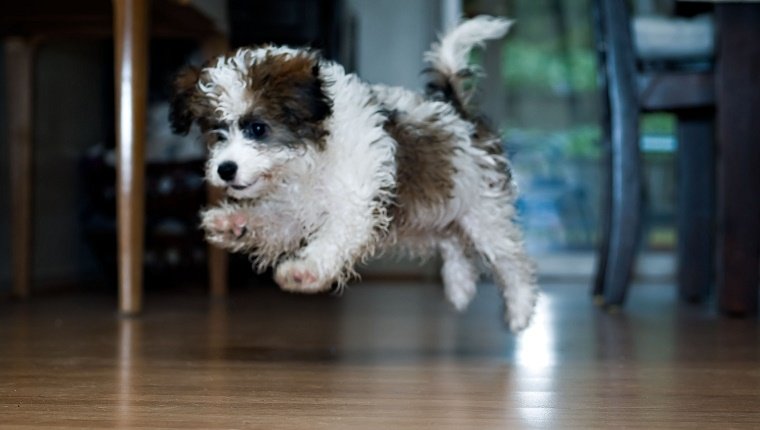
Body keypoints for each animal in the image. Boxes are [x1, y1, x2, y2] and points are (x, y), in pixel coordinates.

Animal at [169, 15, 536, 332]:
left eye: (258, 128)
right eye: (218, 134)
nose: (225, 169)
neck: (310, 158)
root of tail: (458, 113)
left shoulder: (356, 202)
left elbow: (333, 237)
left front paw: (305, 270)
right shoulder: (292, 210)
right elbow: (269, 220)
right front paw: (232, 223)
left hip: (483, 212)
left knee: (511, 261)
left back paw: (519, 309)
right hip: (438, 211)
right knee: (452, 242)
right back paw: (460, 286)